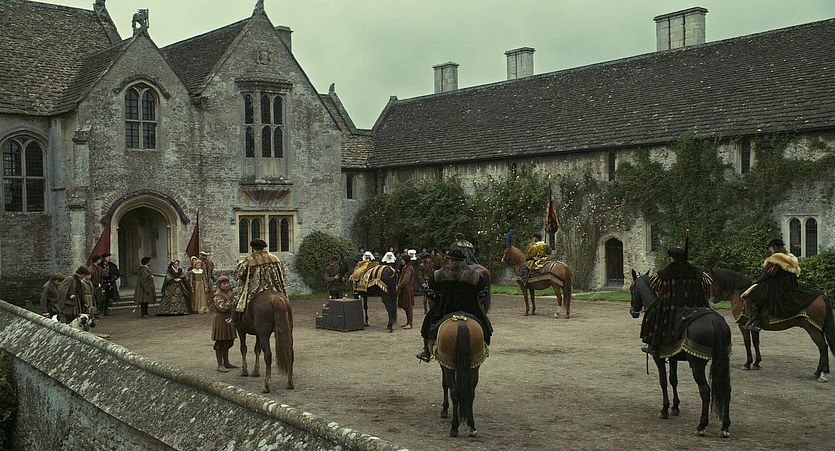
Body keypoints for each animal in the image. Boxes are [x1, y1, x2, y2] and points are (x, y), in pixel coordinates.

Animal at [629, 270, 732, 437]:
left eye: (631, 288)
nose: (633, 312)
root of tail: (715, 322)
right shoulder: (672, 357)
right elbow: (673, 380)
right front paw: (675, 407)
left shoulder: (658, 357)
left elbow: (663, 381)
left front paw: (664, 409)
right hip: (722, 360)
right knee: (726, 389)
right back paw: (725, 426)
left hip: (697, 363)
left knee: (705, 390)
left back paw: (701, 426)